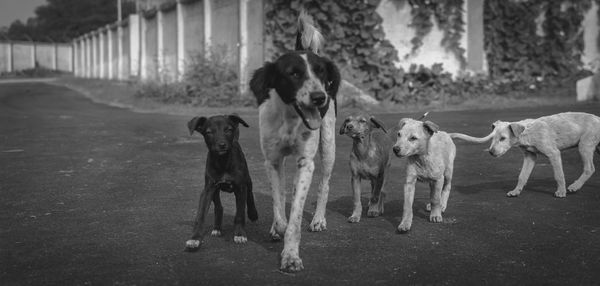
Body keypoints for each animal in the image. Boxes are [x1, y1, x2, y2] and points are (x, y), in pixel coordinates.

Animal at [184, 114, 256, 250]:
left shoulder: (240, 188)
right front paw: (195, 238)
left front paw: (239, 234)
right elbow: (200, 215)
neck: (223, 161)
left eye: (228, 130)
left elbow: (240, 213)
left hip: (247, 179)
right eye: (209, 132)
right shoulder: (208, 189)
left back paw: (253, 213)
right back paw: (217, 228)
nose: (222, 145)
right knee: (219, 207)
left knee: (250, 194)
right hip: (215, 190)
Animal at [248, 10, 340, 272]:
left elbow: (295, 219)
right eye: (294, 74)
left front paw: (290, 256)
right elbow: (279, 204)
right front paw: (277, 227)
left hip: (328, 146)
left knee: (325, 184)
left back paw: (318, 219)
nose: (320, 97)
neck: (290, 118)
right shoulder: (272, 161)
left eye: (321, 72)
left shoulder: (305, 163)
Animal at [450, 111, 600, 197]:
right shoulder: (530, 156)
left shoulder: (554, 154)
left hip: (584, 146)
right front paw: (516, 191)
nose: (491, 152)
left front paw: (561, 192)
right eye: (492, 138)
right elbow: (522, 176)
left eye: (503, 138)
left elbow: (559, 175)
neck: (526, 132)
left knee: (590, 168)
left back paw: (574, 186)